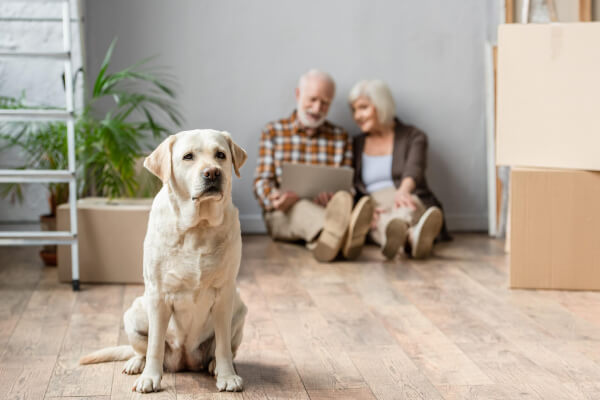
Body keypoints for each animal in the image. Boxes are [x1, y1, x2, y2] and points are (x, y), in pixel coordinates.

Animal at [80, 130, 248, 392]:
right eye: (188, 156)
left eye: (220, 155)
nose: (212, 172)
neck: (198, 227)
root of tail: (185, 361)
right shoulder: (158, 295)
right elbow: (155, 345)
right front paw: (149, 377)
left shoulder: (224, 294)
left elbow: (222, 346)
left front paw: (227, 376)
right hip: (134, 312)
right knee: (141, 349)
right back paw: (136, 363)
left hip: (239, 308)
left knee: (224, 349)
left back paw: (214, 366)